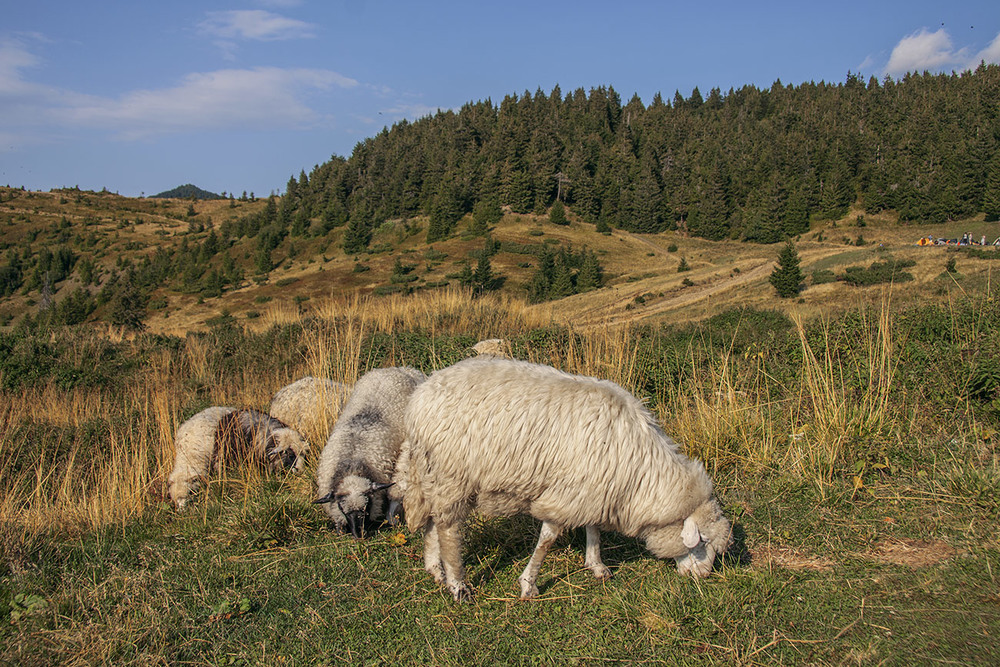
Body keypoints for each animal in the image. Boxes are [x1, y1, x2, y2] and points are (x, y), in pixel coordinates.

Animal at [398, 358, 736, 604]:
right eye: (703, 541)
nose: (702, 578)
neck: (642, 474)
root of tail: (420, 397)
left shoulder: (593, 490)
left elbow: (594, 529)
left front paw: (597, 565)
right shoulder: (565, 495)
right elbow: (547, 541)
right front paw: (528, 584)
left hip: (432, 472)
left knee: (431, 520)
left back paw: (436, 570)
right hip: (452, 474)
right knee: (448, 530)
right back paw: (458, 584)